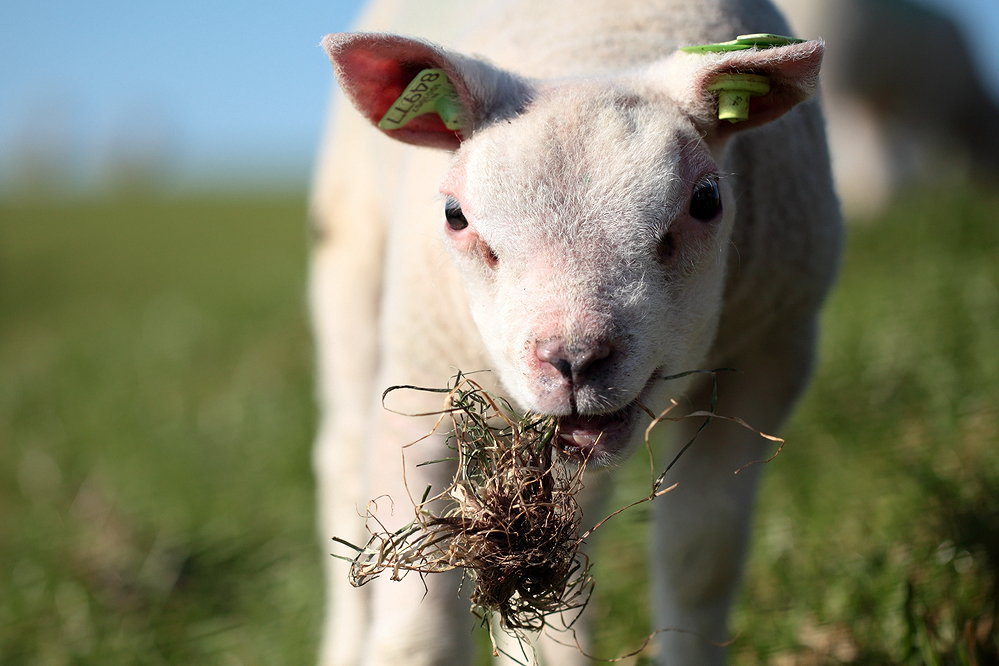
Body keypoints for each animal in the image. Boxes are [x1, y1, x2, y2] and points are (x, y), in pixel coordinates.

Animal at [310, 2, 844, 660]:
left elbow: (699, 557)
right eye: (454, 215)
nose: (574, 360)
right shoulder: (420, 376)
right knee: (341, 463)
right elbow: (415, 625)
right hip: (351, 273)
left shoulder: (772, 355)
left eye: (707, 200)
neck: (597, 49)